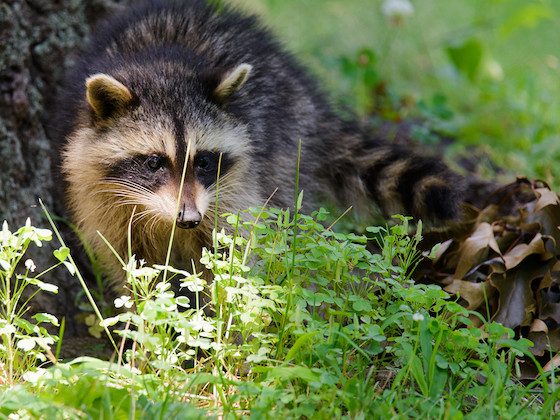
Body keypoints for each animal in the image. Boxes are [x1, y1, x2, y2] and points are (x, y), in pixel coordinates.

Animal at [55, 0, 464, 288]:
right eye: (154, 162)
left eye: (204, 161)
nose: (189, 218)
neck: (164, 63)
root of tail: (312, 102)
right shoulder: (103, 196)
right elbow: (128, 264)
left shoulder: (233, 190)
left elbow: (235, 252)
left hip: (286, 144)